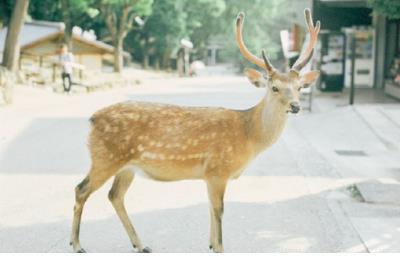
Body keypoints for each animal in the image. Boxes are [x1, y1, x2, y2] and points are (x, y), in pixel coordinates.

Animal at [69, 8, 318, 254]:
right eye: (274, 87)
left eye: (300, 87)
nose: (296, 106)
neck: (248, 135)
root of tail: (92, 119)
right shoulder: (218, 169)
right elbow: (219, 210)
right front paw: (219, 247)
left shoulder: (209, 175)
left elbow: (210, 208)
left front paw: (210, 244)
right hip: (105, 157)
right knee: (81, 189)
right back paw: (77, 244)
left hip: (126, 165)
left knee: (115, 195)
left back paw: (140, 244)